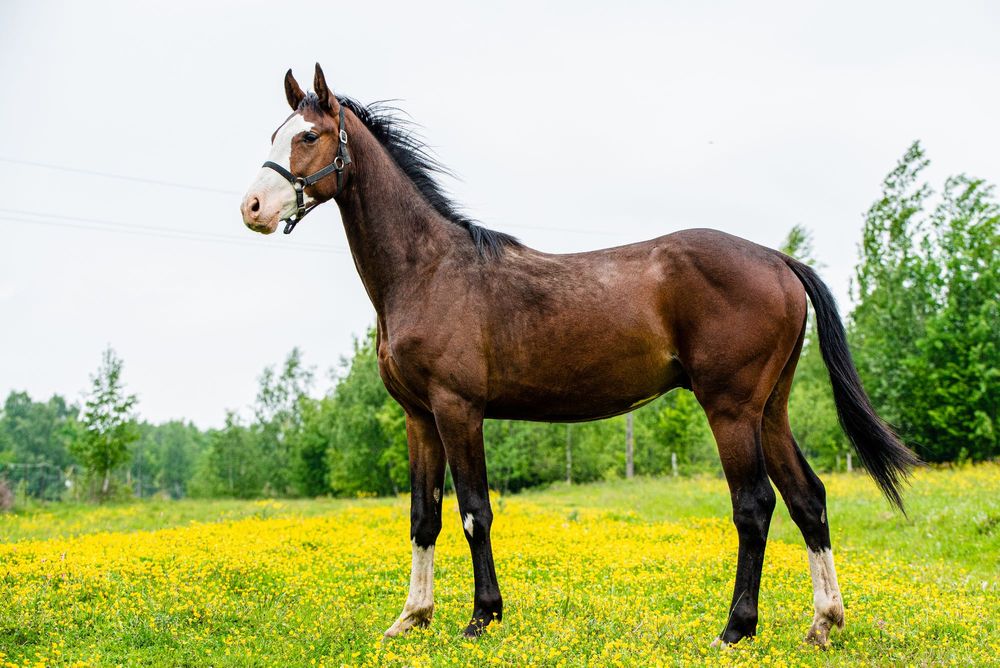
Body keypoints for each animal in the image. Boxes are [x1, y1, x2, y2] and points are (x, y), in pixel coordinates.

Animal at [238, 64, 916, 648]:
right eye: (273, 134)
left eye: (308, 135)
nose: (252, 209)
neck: (429, 270)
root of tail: (777, 259)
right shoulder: (418, 417)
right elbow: (423, 516)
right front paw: (413, 617)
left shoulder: (459, 410)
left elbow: (475, 512)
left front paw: (482, 618)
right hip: (769, 410)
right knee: (808, 498)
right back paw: (824, 623)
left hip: (731, 411)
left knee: (755, 507)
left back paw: (735, 629)